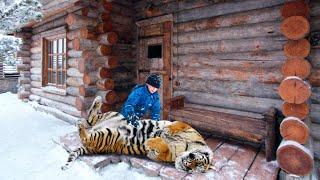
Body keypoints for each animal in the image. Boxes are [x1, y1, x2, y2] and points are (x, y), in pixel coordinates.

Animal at [61, 95, 214, 173]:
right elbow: (175, 126)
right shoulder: (186, 127)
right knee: (91, 118)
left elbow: (162, 148)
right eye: (198, 162)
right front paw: (165, 132)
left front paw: (151, 141)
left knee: (86, 136)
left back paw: (80, 124)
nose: (187, 165)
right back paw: (95, 102)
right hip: (114, 115)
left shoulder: (158, 155)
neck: (187, 147)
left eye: (195, 169)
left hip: (108, 135)